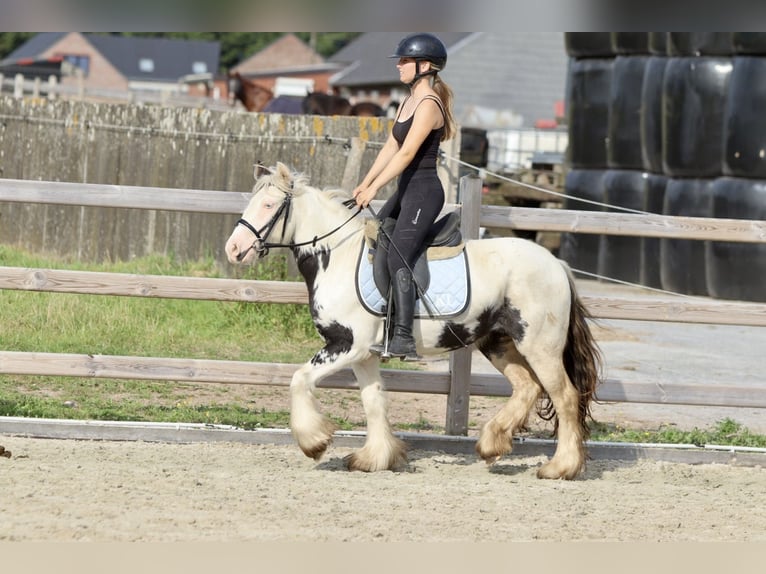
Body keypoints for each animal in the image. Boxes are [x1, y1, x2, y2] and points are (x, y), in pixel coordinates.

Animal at [226, 162, 608, 482]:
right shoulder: (364, 355)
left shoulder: (345, 346)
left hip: (540, 346)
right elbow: (374, 401)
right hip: (497, 342)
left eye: (268, 205)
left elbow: (299, 379)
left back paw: (560, 467)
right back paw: (492, 444)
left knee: (564, 397)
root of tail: (557, 264)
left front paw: (314, 442)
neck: (336, 255)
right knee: (527, 387)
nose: (233, 249)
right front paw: (374, 459)